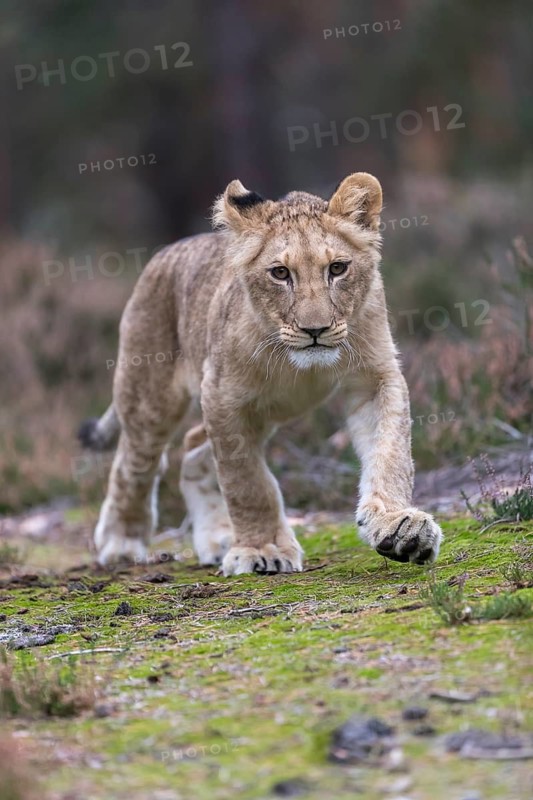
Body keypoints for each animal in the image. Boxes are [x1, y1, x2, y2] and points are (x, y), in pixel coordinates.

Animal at [79, 172, 443, 574]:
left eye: (337, 268)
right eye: (280, 273)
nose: (315, 329)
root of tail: (163, 254)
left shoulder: (374, 377)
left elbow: (391, 452)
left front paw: (400, 527)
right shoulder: (223, 396)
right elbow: (246, 481)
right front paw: (262, 549)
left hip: (267, 411)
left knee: (192, 448)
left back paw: (216, 538)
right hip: (150, 396)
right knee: (135, 463)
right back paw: (121, 542)